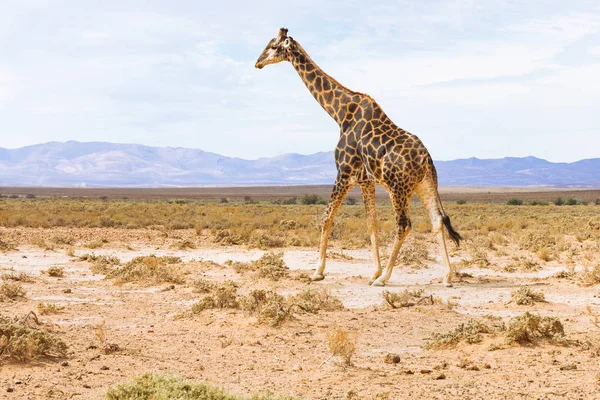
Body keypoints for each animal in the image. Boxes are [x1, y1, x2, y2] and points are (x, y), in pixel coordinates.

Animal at [255, 26, 462, 286]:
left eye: (272, 46)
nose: (257, 63)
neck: (340, 112)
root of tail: (426, 158)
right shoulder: (365, 180)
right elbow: (371, 223)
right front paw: (373, 270)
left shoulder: (344, 173)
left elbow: (326, 218)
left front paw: (318, 271)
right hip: (424, 184)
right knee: (437, 220)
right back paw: (446, 276)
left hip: (398, 188)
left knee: (403, 225)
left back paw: (384, 278)